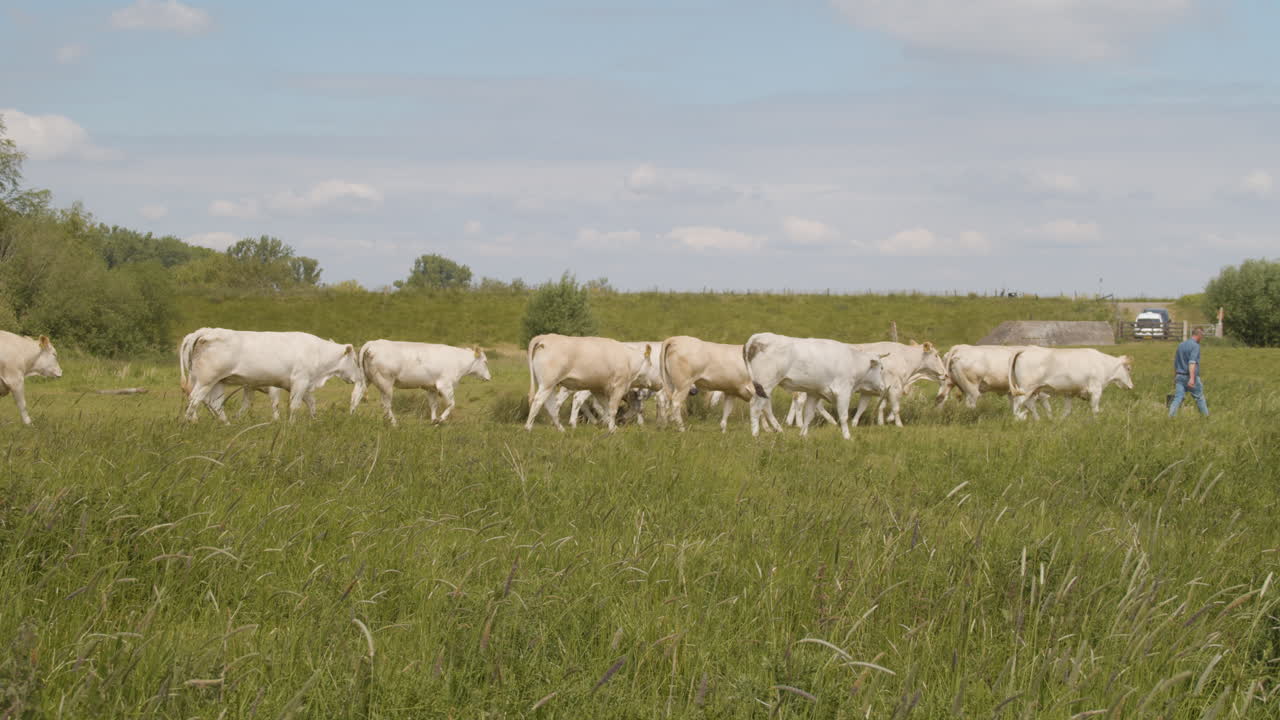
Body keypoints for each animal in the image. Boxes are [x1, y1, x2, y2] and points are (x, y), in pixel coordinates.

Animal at [179, 328, 361, 423]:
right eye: (355, 360)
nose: (358, 378)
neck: (318, 352)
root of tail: (206, 331)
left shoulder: (299, 384)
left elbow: (311, 402)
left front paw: (314, 420)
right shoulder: (300, 381)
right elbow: (293, 406)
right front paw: (290, 424)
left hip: (218, 382)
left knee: (215, 404)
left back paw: (227, 425)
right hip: (206, 380)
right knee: (195, 399)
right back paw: (190, 422)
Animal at [349, 340, 491, 425]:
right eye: (485, 361)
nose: (489, 377)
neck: (458, 360)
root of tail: (372, 343)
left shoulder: (432, 388)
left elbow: (433, 405)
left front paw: (434, 421)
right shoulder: (445, 386)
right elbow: (451, 404)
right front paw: (441, 419)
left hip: (364, 380)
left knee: (355, 397)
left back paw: (352, 417)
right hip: (386, 383)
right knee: (386, 404)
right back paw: (394, 423)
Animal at [525, 334, 654, 432]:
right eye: (651, 364)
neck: (629, 360)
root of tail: (545, 337)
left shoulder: (598, 389)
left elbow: (606, 407)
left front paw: (609, 424)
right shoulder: (618, 388)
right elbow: (612, 409)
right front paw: (612, 428)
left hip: (549, 384)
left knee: (551, 404)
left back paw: (561, 429)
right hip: (548, 383)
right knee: (538, 401)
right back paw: (528, 428)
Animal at [743, 333, 885, 440]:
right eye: (881, 368)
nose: (883, 387)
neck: (853, 361)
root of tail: (758, 336)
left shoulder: (814, 393)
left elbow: (808, 415)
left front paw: (803, 435)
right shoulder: (843, 392)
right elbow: (844, 416)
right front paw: (847, 437)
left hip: (764, 388)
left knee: (765, 407)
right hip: (766, 384)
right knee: (756, 407)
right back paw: (755, 434)